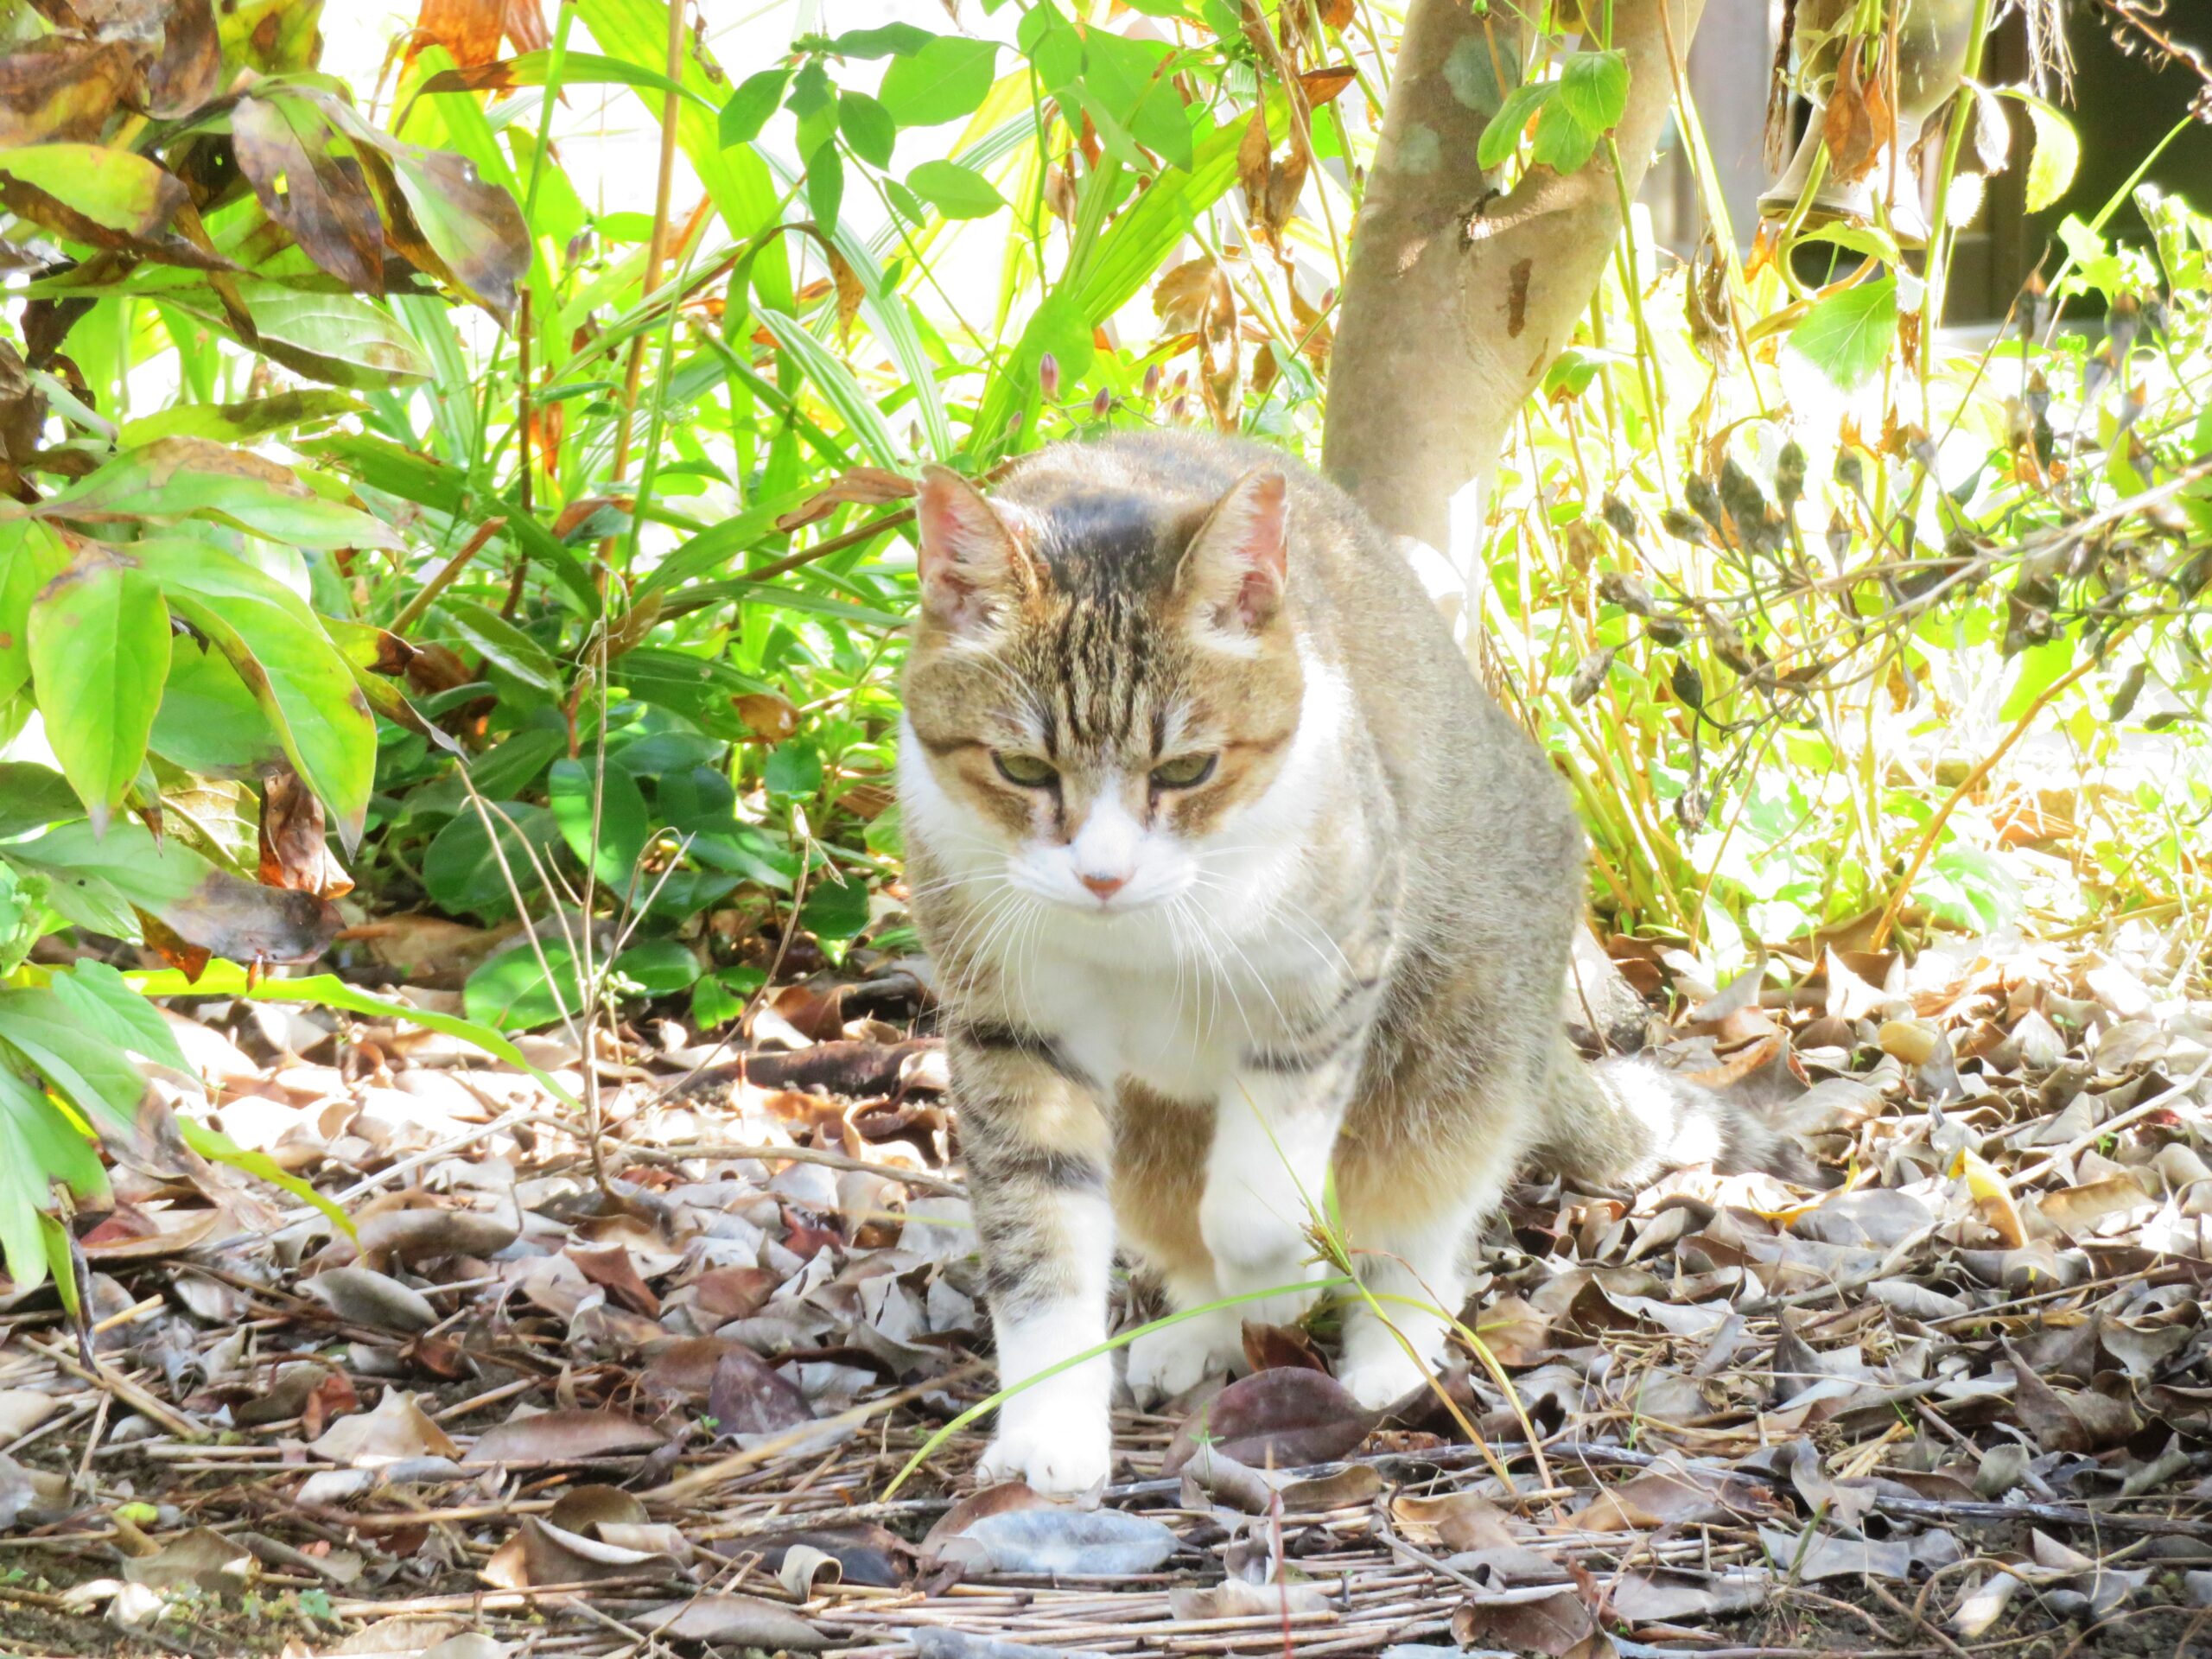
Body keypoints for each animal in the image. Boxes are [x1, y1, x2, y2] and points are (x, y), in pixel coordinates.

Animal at [898, 435, 1796, 1503]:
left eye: (1187, 770)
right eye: (1024, 771)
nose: (1104, 876)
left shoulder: (1329, 978)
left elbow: (1255, 1206)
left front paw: (1278, 1278)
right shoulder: (1014, 1028)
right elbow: (1040, 1233)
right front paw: (1049, 1422)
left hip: (1459, 1036)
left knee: (1428, 1204)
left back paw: (1386, 1352)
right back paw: (1196, 1330)